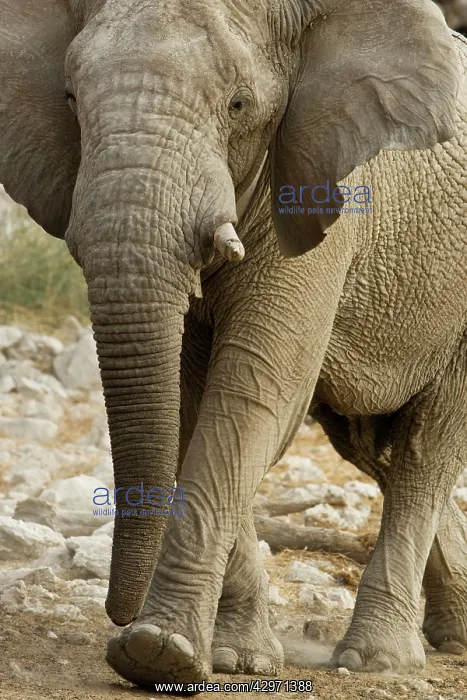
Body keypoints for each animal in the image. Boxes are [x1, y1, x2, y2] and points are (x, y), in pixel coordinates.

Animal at [0, 0, 466, 689]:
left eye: (239, 105)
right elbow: (194, 401)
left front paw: (156, 651)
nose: (119, 613)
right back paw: (450, 637)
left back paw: (379, 660)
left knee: (423, 451)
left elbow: (251, 392)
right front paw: (224, 658)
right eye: (69, 98)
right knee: (373, 449)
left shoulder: (319, 191)